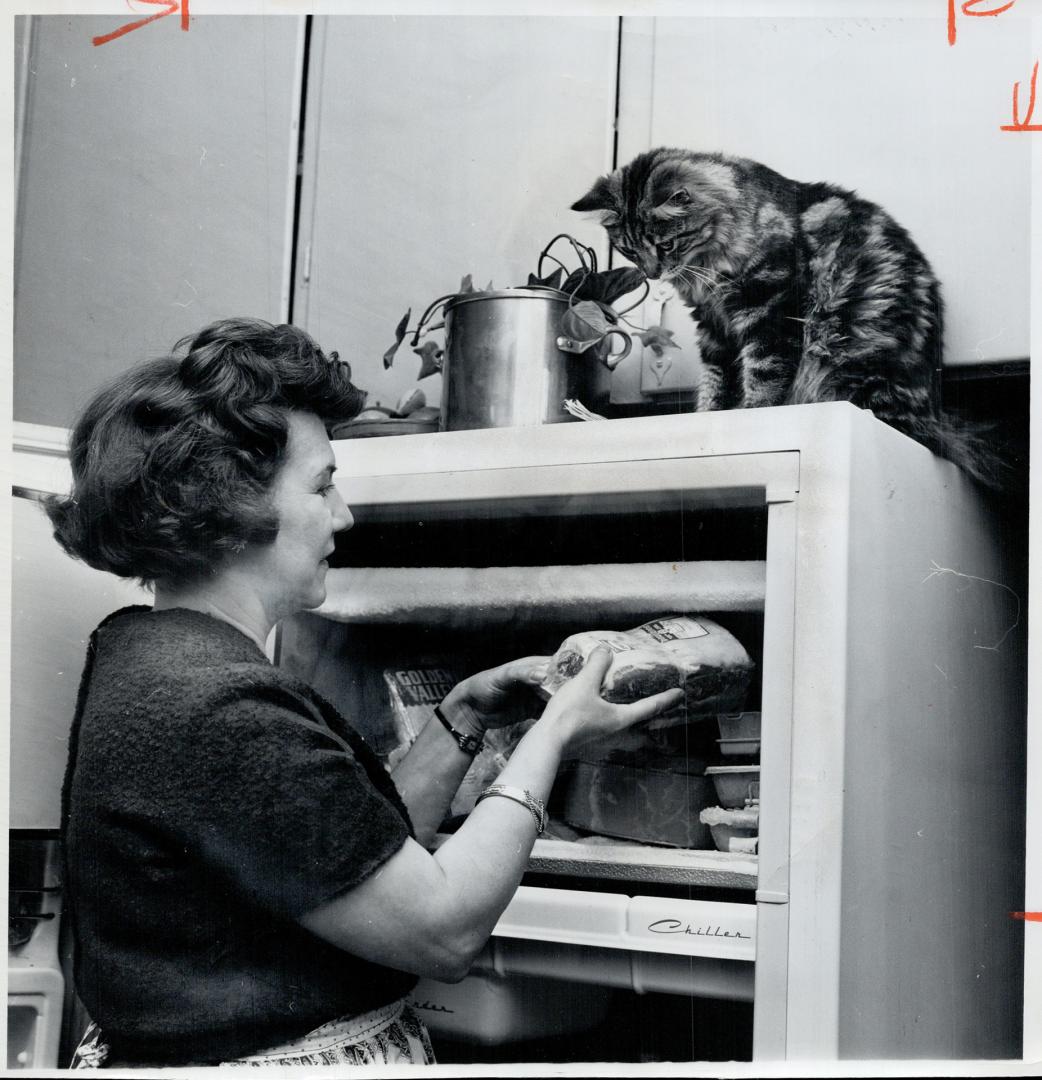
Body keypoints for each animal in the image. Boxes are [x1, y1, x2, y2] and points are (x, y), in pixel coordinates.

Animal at [578, 146, 993, 486]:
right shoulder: (714, 327)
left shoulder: (769, 309)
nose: (652, 275)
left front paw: (753, 412)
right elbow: (715, 381)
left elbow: (763, 372)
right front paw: (709, 416)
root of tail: (934, 416)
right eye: (629, 250)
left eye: (665, 244)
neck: (709, 267)